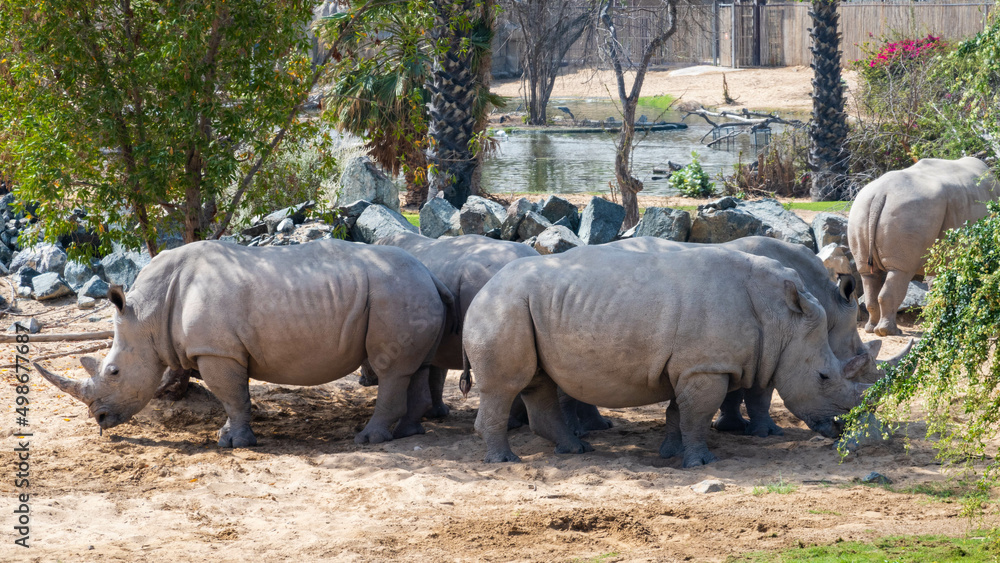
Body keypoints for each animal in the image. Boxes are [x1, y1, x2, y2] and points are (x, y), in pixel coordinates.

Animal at [35, 239, 455, 447]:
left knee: (391, 369)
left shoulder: (217, 350)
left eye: (114, 372)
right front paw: (228, 437)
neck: (148, 314)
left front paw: (235, 444)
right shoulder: (218, 349)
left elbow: (233, 396)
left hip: (395, 292)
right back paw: (409, 433)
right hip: (408, 291)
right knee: (414, 367)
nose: (100, 420)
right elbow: (231, 398)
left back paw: (368, 440)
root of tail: (431, 274)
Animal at [464, 245, 868, 466]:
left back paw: (575, 449)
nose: (843, 427)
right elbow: (697, 414)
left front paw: (671, 454)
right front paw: (701, 463)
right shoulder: (705, 367)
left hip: (523, 306)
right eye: (823, 377)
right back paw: (505, 461)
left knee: (538, 384)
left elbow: (679, 412)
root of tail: (482, 289)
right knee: (505, 387)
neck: (782, 318)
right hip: (504, 306)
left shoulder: (690, 366)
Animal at [605, 235, 908, 437]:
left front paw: (731, 426)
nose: (861, 415)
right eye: (859, 357)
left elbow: (737, 389)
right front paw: (764, 431)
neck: (826, 300)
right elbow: (756, 391)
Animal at [848, 157, 1000, 336]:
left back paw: (871, 329)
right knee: (901, 271)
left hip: (860, 210)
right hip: (909, 211)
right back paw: (890, 332)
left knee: (868, 274)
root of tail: (880, 194)